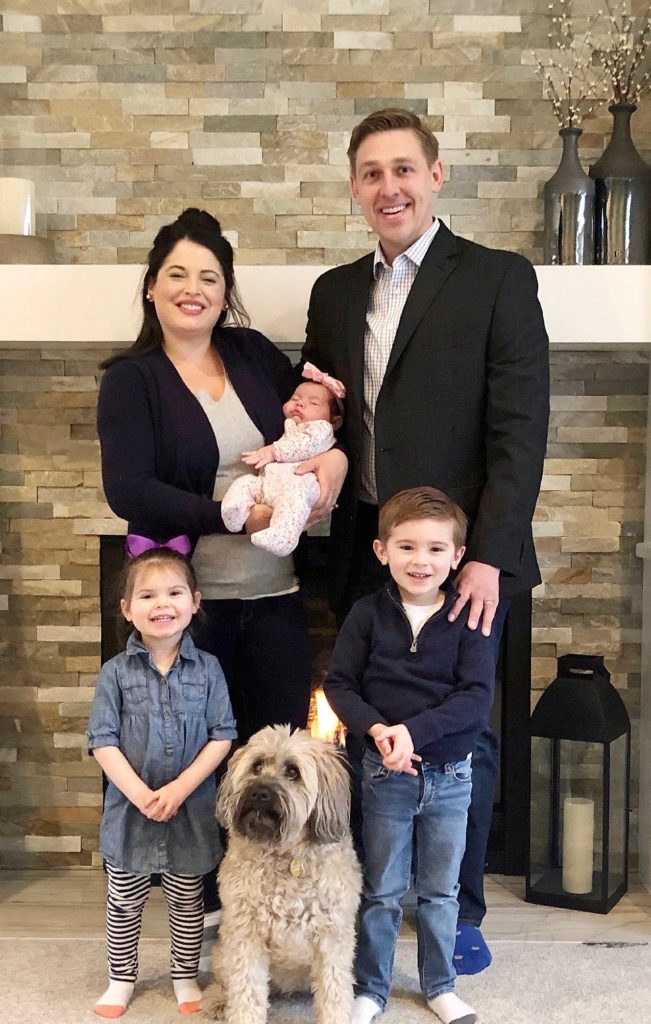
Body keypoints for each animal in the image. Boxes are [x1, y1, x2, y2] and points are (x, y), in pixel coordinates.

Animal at [209, 724, 361, 1024]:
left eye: (293, 772)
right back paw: (219, 1001)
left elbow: (335, 992)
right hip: (223, 950)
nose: (259, 792)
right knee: (223, 981)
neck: (287, 854)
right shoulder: (246, 935)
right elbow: (246, 992)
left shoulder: (333, 937)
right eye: (256, 766)